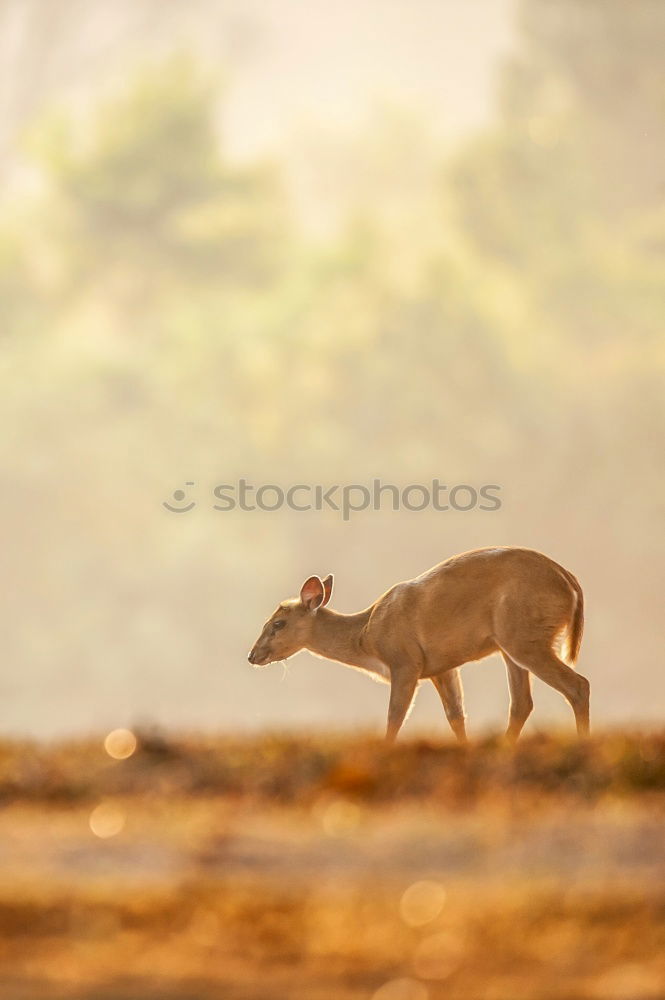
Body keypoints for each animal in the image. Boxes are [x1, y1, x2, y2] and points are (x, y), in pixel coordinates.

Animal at [248, 548, 588, 744]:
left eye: (277, 623)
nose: (252, 655)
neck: (367, 635)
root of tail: (570, 582)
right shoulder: (441, 666)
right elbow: (456, 716)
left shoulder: (405, 660)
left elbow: (395, 715)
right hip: (511, 644)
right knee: (521, 703)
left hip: (524, 634)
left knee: (577, 685)